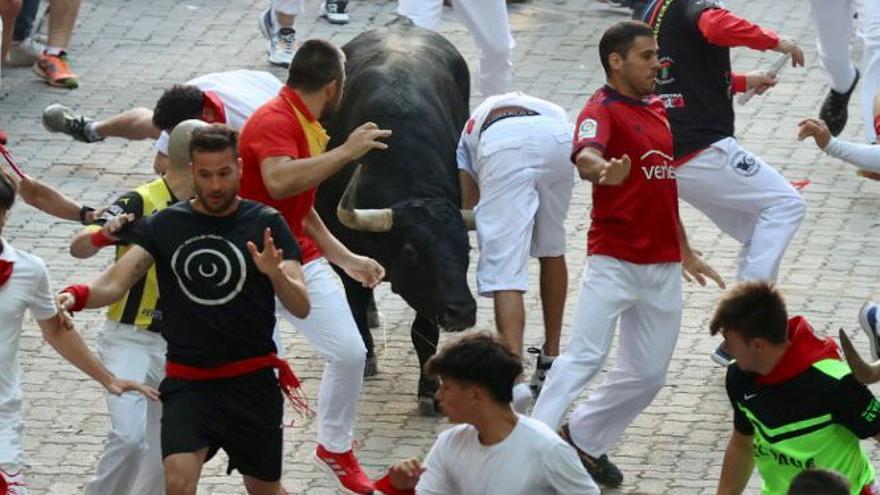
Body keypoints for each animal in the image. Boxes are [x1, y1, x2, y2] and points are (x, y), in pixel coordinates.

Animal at [316, 20, 478, 406]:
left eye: (465, 249)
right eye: (410, 251)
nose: (462, 311)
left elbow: (424, 330)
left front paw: (429, 388)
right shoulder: (344, 255)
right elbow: (355, 309)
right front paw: (367, 359)